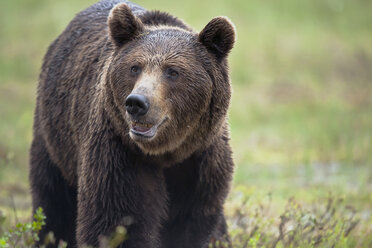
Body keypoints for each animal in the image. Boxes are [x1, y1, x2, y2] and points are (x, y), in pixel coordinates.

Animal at [31, 0, 235, 247]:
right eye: (135, 67)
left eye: (173, 71)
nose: (137, 102)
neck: (166, 153)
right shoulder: (119, 153)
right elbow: (115, 219)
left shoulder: (201, 161)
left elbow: (191, 223)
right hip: (54, 136)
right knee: (53, 199)